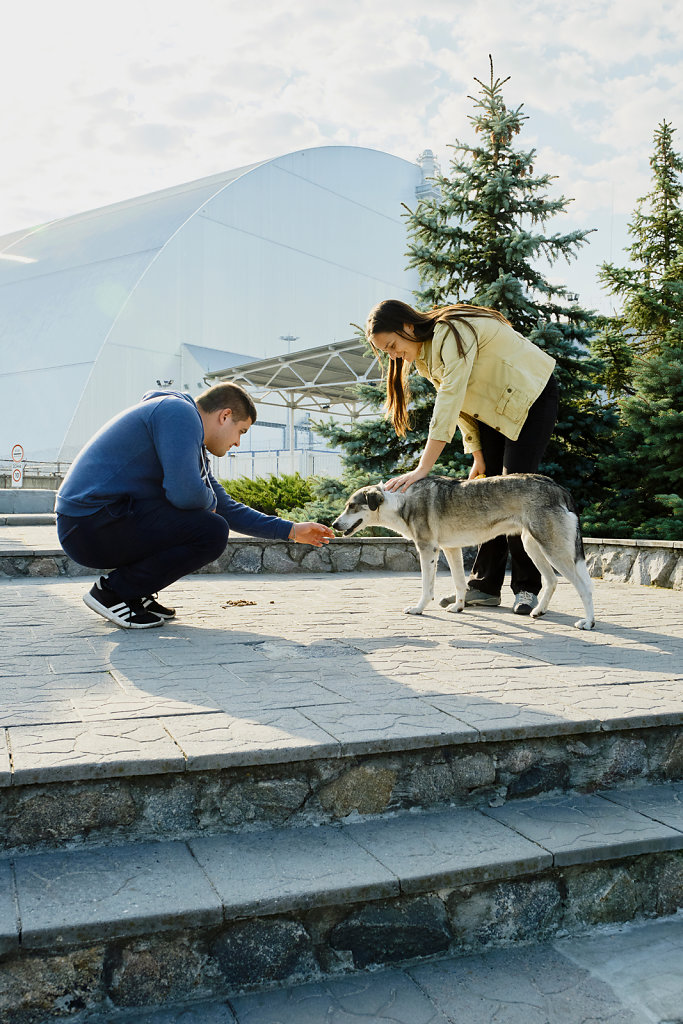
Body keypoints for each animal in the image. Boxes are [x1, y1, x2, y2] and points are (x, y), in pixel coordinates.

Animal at [333, 475, 593, 626]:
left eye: (352, 506)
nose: (334, 525)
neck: (401, 501)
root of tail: (558, 487)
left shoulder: (428, 549)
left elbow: (426, 588)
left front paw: (418, 609)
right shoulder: (451, 549)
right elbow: (460, 583)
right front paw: (458, 607)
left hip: (554, 551)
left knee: (584, 587)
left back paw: (588, 622)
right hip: (534, 547)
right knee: (552, 581)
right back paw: (538, 611)